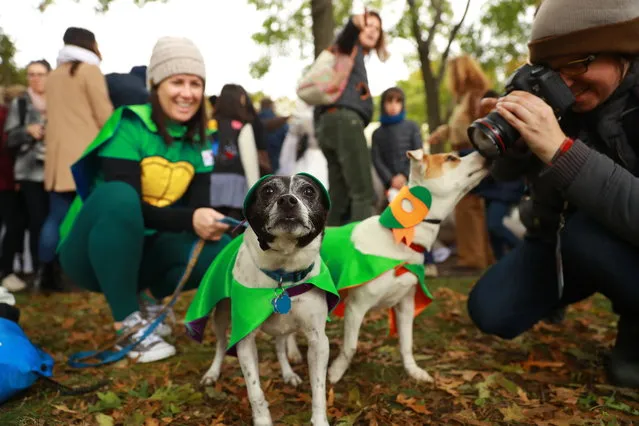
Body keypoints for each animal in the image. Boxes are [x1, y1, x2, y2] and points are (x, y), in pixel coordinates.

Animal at [185, 173, 338, 426]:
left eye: (308, 191)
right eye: (267, 191)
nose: (287, 200)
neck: (283, 275)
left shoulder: (318, 341)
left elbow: (318, 388)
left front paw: (319, 420)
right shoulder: (245, 339)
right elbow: (254, 390)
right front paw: (263, 419)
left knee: (280, 346)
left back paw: (288, 373)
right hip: (221, 316)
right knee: (220, 345)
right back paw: (212, 373)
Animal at [288, 149, 488, 382]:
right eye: (450, 158)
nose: (485, 153)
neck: (399, 239)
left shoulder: (406, 305)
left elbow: (407, 343)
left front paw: (413, 371)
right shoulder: (356, 308)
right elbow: (351, 347)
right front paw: (336, 372)